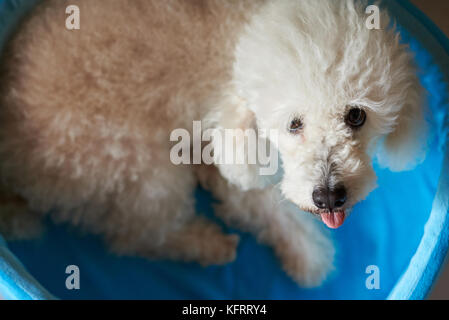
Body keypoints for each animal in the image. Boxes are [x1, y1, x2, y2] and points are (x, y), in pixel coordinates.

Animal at [0, 0, 428, 288]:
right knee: (135, 237)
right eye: (293, 124)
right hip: (140, 167)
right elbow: (271, 208)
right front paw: (311, 259)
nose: (328, 197)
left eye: (356, 116)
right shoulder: (238, 148)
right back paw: (207, 243)